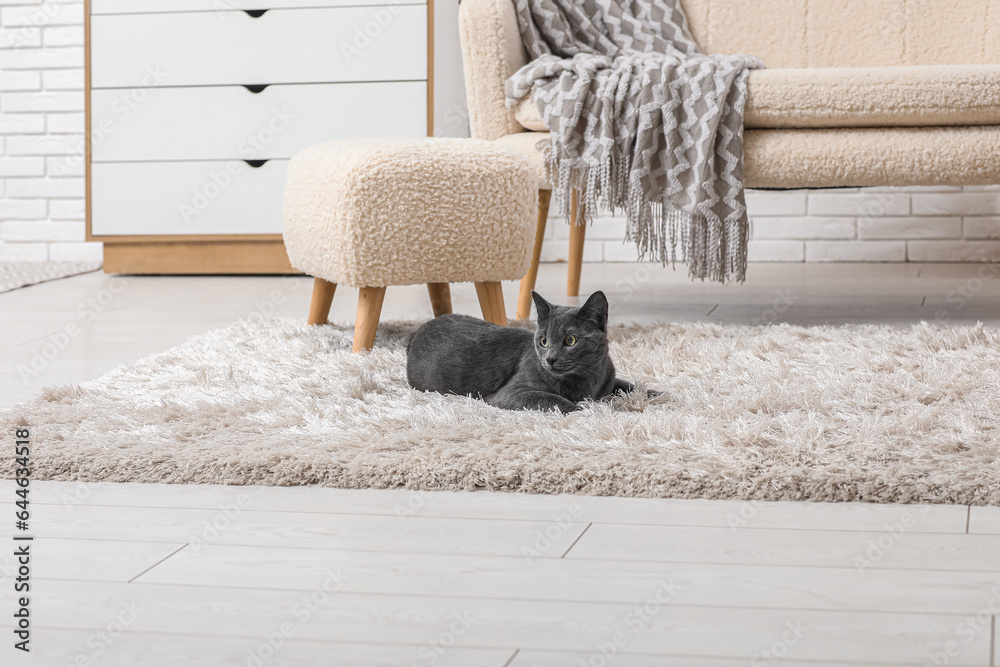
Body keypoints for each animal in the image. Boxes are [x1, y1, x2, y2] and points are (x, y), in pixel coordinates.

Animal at [404, 290, 632, 412]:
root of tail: (418, 329)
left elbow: (629, 385)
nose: (550, 359)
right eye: (543, 341)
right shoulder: (510, 393)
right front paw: (589, 412)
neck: (589, 379)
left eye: (570, 340)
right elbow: (556, 399)